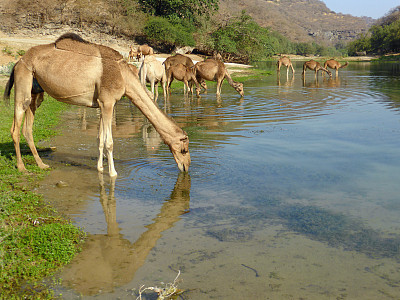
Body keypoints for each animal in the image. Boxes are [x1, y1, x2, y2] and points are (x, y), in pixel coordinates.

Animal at [2, 32, 191, 177]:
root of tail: (18, 61)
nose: (186, 166)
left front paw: (100, 168)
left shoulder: (101, 103)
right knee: (15, 127)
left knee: (28, 127)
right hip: (24, 79)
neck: (124, 76)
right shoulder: (108, 102)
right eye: (184, 149)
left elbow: (100, 138)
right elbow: (109, 142)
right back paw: (22, 168)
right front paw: (112, 173)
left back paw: (41, 164)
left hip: (36, 91)